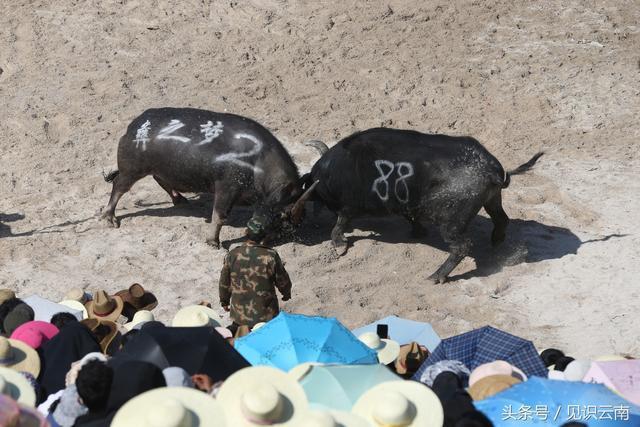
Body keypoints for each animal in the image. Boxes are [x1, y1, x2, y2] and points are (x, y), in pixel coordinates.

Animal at [99, 108, 316, 247]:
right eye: (283, 215)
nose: (258, 235)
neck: (258, 162)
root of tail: (133, 127)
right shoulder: (226, 189)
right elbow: (219, 216)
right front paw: (213, 241)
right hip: (132, 170)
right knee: (118, 187)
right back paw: (109, 217)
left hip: (160, 169)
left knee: (161, 181)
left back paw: (180, 199)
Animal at [302, 129, 544, 286]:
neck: (330, 173)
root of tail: (491, 170)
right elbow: (412, 217)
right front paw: (418, 232)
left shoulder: (348, 207)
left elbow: (340, 222)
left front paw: (339, 244)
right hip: (493, 200)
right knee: (502, 220)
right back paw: (496, 245)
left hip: (451, 223)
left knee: (462, 246)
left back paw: (437, 276)